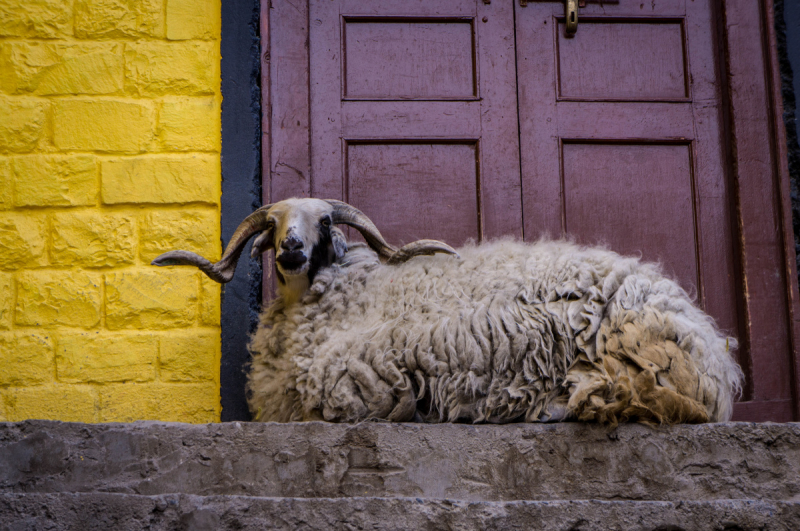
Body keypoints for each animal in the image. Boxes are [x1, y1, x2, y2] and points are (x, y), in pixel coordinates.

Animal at [152, 197, 744, 426]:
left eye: (324, 222)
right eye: (274, 224)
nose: (291, 250)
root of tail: (715, 355)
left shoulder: (362, 370)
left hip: (629, 353)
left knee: (655, 400)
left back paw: (563, 405)